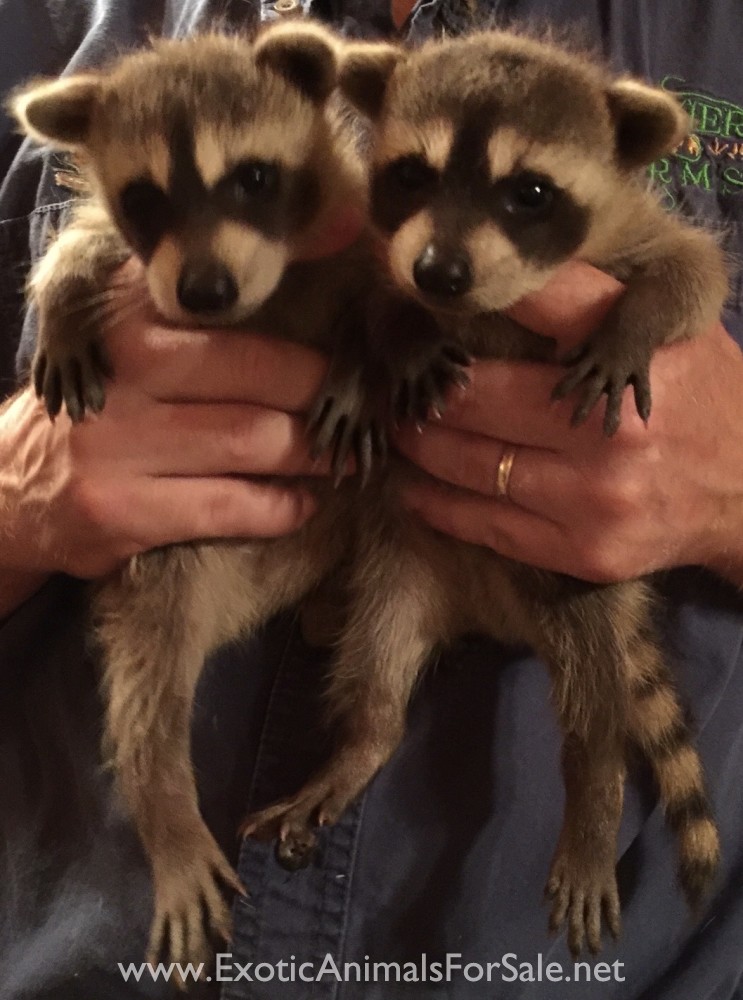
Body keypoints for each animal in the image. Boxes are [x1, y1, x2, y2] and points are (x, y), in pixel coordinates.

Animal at [9, 21, 377, 970]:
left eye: (252, 178)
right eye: (145, 197)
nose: (204, 289)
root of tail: (254, 598)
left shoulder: (355, 228)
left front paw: (374, 359)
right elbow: (86, 238)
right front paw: (65, 290)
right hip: (165, 575)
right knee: (147, 707)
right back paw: (166, 811)